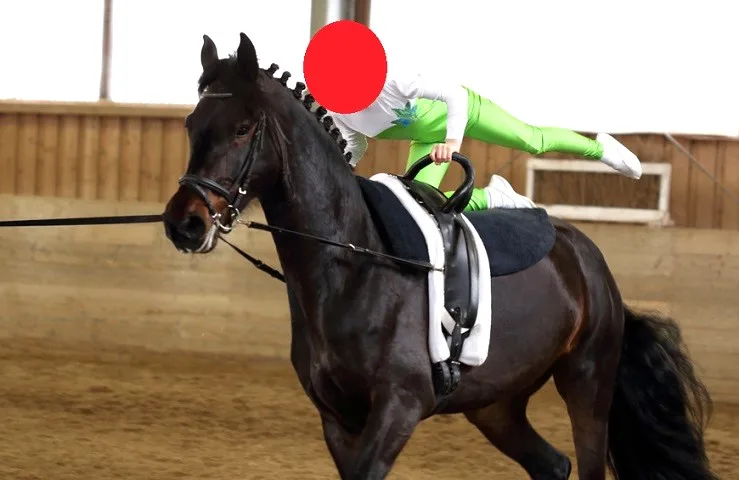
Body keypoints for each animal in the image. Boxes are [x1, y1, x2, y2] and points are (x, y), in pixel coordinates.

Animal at [160, 31, 716, 478]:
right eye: (191, 124)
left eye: (242, 128)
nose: (185, 223)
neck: (350, 264)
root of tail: (590, 262)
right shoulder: (337, 419)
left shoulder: (399, 407)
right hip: (496, 404)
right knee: (553, 464)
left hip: (588, 385)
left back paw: (616, 156)